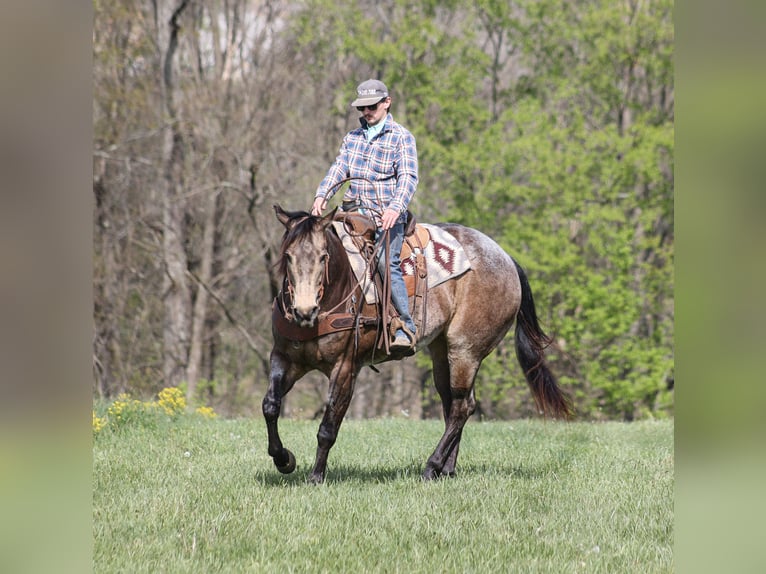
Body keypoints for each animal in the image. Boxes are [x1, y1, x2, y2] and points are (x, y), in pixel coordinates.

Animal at [263, 205, 573, 484]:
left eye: (323, 256)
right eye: (288, 256)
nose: (304, 310)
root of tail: (506, 257)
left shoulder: (345, 368)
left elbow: (328, 427)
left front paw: (316, 477)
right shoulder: (284, 359)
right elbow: (270, 406)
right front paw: (284, 459)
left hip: (466, 350)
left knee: (461, 408)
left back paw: (431, 466)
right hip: (442, 352)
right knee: (455, 404)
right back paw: (446, 470)